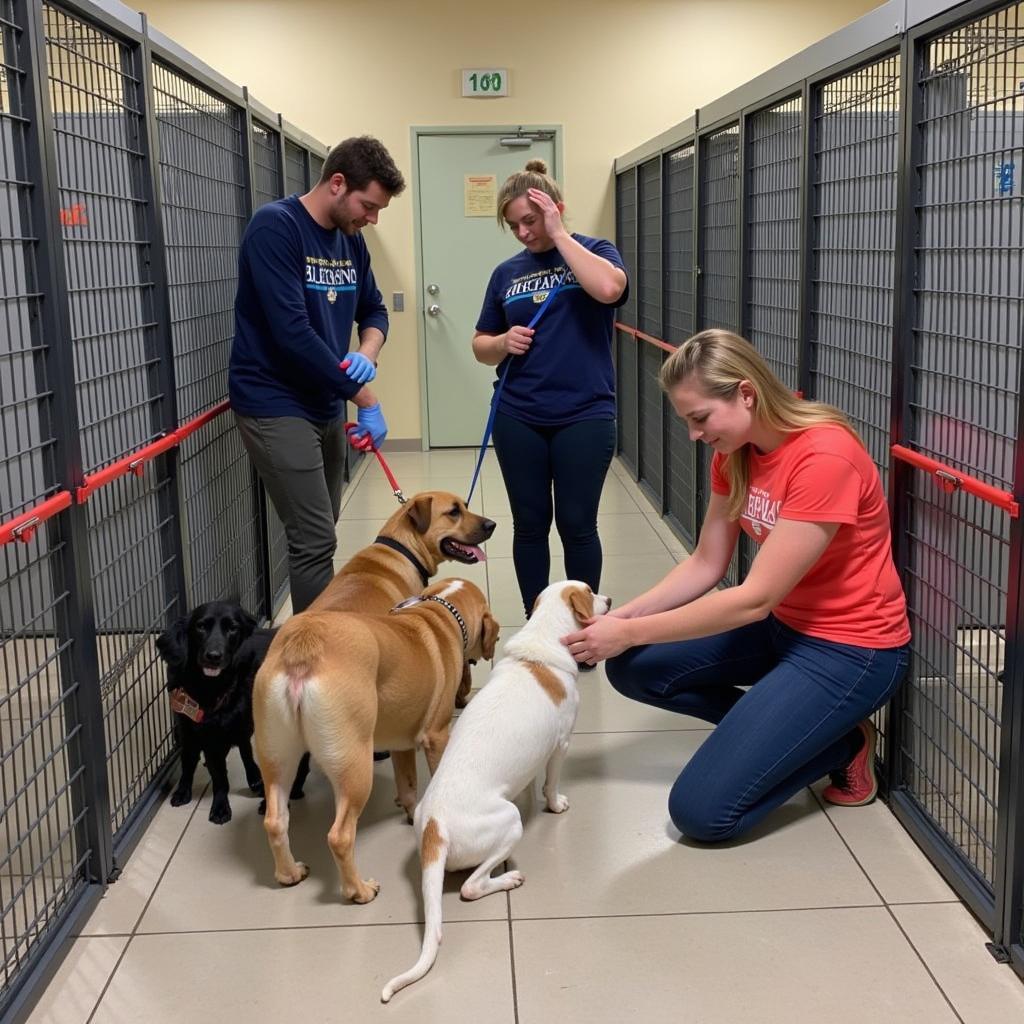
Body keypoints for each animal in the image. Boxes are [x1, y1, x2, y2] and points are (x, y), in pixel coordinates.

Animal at [155, 598, 307, 823]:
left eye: (233, 628)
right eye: (200, 626)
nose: (213, 656)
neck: (211, 688)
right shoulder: (201, 733)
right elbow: (215, 775)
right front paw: (217, 805)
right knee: (194, 758)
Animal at [251, 581, 499, 901]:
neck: (439, 610)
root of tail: (304, 647)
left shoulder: (401, 745)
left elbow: (408, 786)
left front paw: (411, 813)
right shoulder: (437, 736)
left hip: (277, 759)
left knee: (275, 822)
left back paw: (289, 873)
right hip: (354, 768)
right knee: (340, 836)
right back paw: (359, 890)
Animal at [382, 581, 606, 1003]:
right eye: (590, 590)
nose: (610, 600)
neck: (541, 639)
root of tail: (435, 827)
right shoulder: (561, 745)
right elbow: (552, 784)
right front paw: (555, 804)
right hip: (509, 827)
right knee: (471, 887)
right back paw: (507, 879)